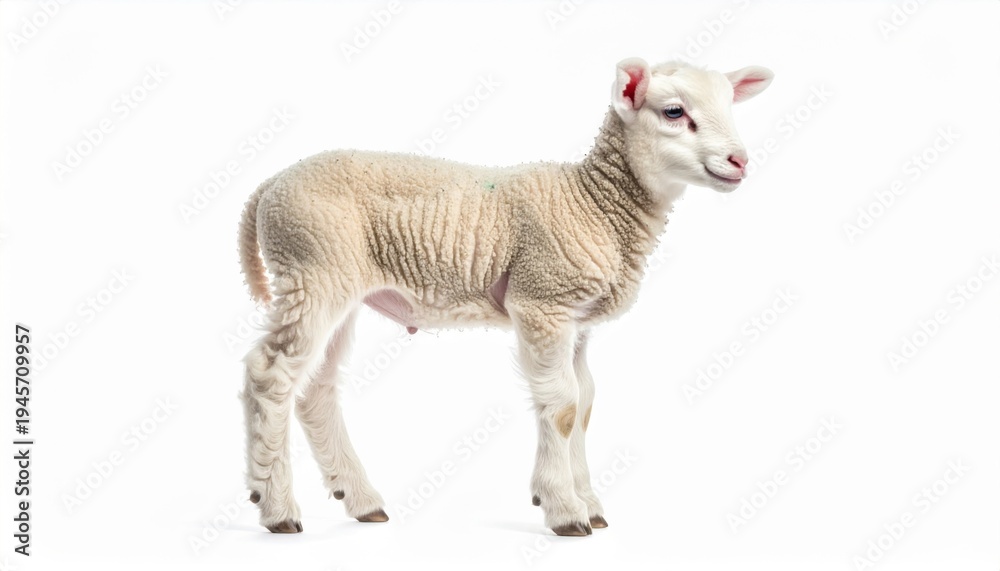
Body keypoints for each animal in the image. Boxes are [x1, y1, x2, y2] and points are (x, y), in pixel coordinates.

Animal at [238, 57, 773, 536]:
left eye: (730, 105)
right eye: (674, 112)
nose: (740, 161)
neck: (593, 203)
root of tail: (268, 186)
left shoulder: (576, 320)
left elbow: (585, 402)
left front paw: (589, 503)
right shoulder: (542, 299)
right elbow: (562, 406)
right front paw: (564, 509)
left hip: (336, 285)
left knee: (316, 389)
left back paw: (361, 499)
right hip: (311, 269)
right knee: (271, 375)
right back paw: (276, 507)